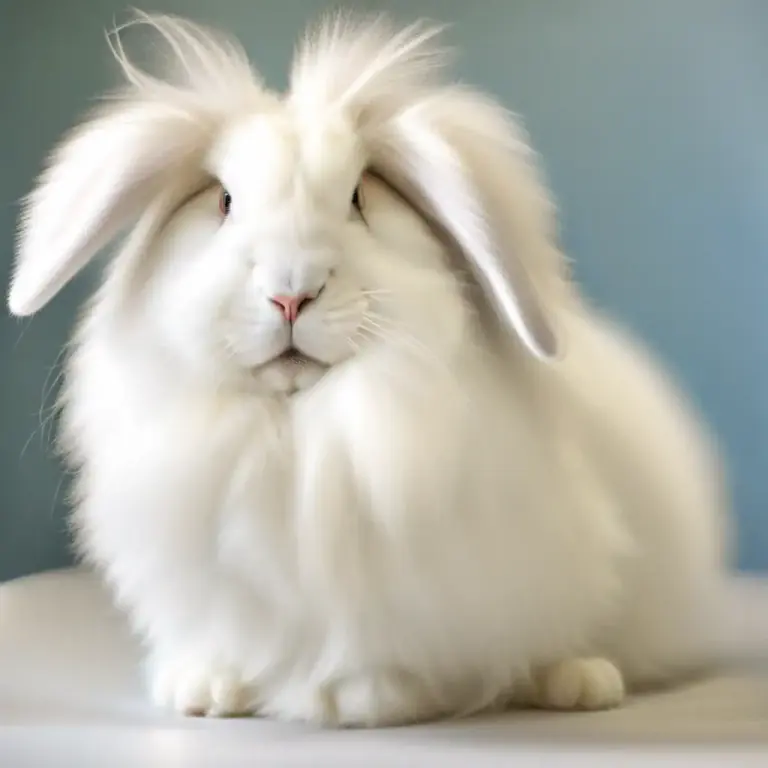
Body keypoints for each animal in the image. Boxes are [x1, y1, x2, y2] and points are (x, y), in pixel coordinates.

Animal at [7, 12, 732, 727]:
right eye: (223, 201)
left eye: (359, 198)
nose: (291, 292)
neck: (299, 432)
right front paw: (207, 688)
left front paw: (366, 699)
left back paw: (580, 681)